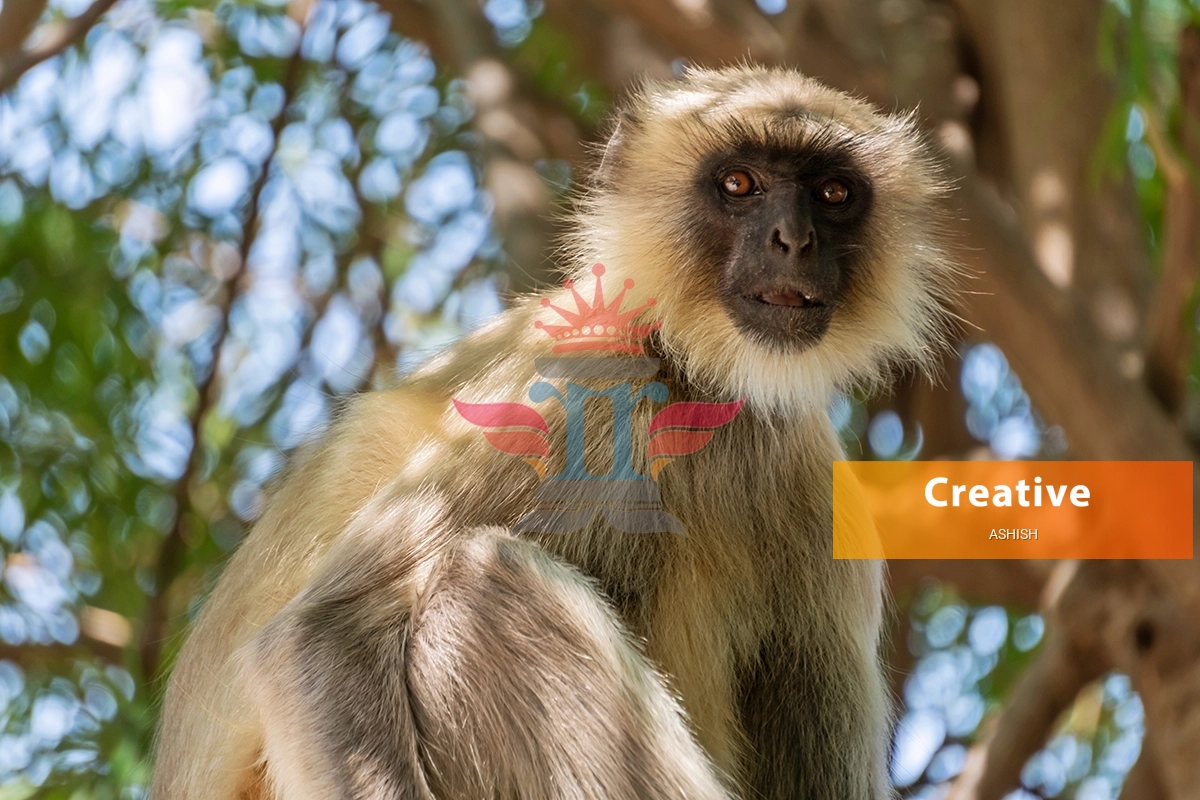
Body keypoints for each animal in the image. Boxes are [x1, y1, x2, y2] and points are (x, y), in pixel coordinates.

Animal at [151, 65, 956, 800]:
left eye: (833, 194)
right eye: (739, 184)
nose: (793, 239)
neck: (693, 376)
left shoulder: (807, 468)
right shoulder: (590, 369)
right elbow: (321, 636)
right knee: (477, 582)